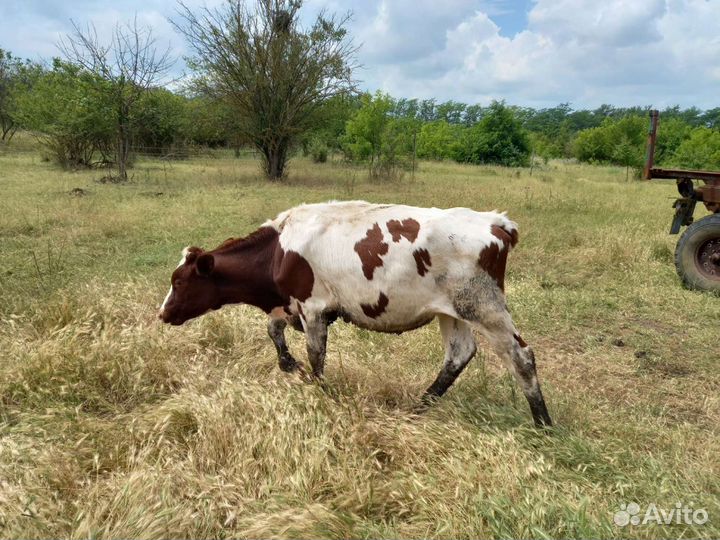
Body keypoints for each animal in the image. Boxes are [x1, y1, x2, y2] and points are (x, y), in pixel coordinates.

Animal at [158, 200, 552, 428]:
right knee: (459, 354)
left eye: (179, 281)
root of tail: (495, 222)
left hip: (485, 307)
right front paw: (289, 365)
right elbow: (274, 332)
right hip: (453, 311)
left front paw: (318, 390)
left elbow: (316, 356)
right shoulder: (290, 304)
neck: (278, 250)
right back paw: (418, 408)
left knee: (521, 356)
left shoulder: (314, 307)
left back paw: (543, 423)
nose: (162, 313)